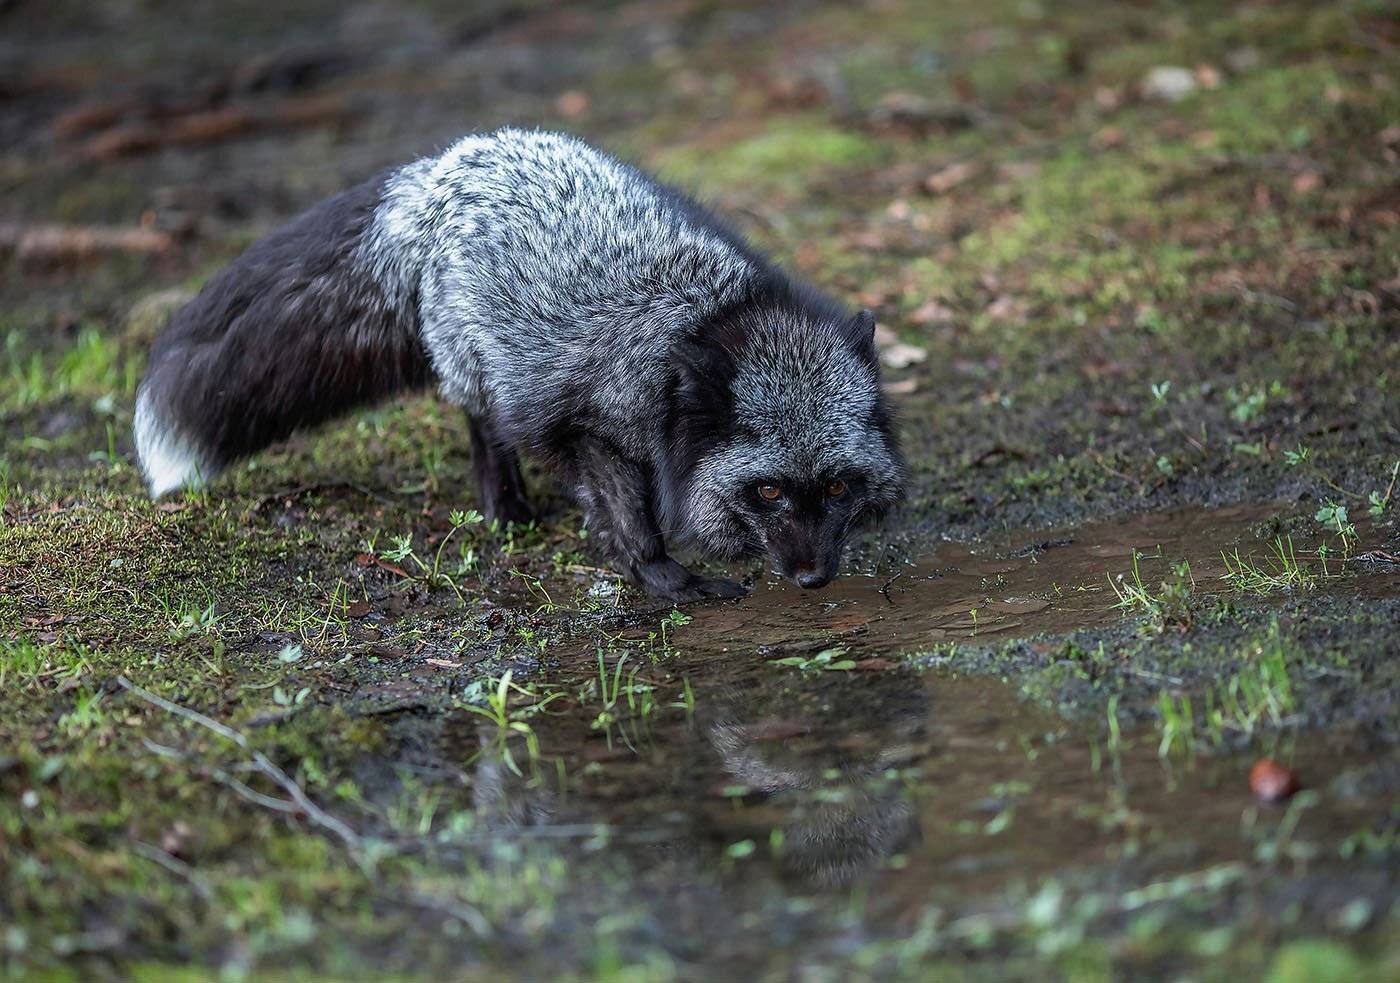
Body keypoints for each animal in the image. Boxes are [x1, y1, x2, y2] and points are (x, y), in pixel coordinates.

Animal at [135, 128, 904, 601]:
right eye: (767, 491)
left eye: (839, 487)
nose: (813, 580)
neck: (702, 321)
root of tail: (439, 170)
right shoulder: (590, 429)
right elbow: (632, 520)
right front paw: (664, 577)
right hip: (480, 368)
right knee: (484, 422)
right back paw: (504, 505)